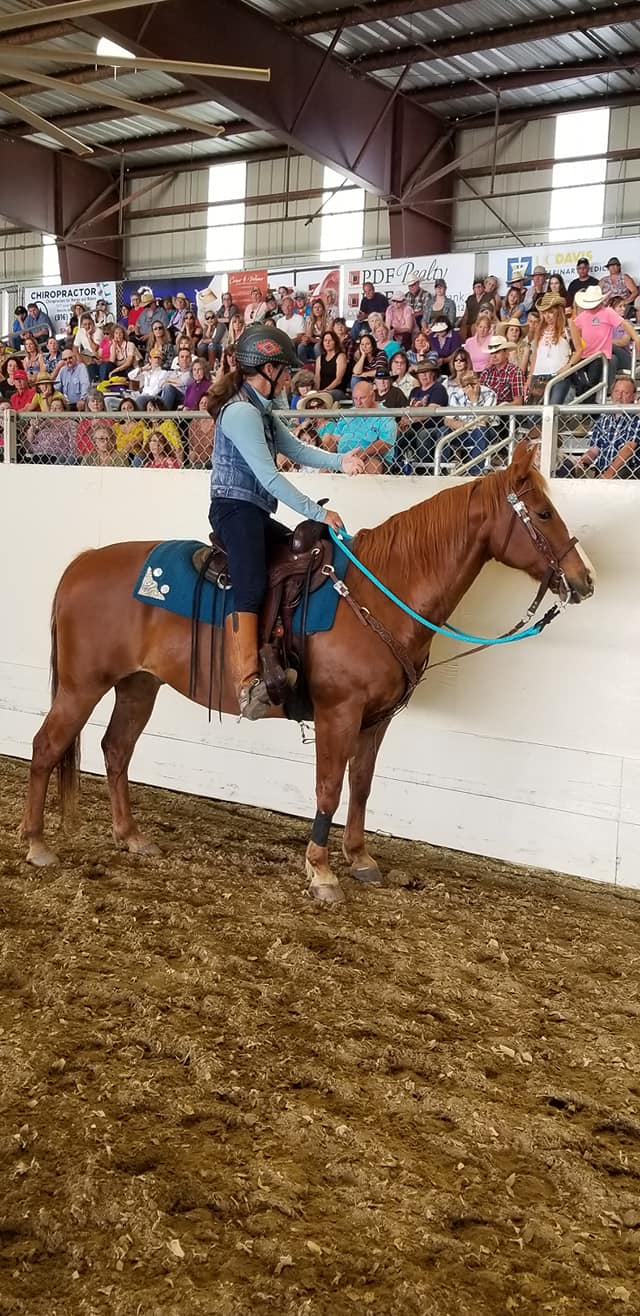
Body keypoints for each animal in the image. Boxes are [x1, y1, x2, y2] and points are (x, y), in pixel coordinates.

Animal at [21, 442, 594, 903]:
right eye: (543, 512)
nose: (585, 580)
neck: (378, 595)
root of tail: (83, 563)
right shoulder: (339, 713)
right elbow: (328, 789)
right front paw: (321, 872)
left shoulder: (376, 719)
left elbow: (361, 787)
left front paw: (360, 858)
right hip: (82, 686)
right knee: (47, 746)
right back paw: (37, 843)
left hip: (138, 684)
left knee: (116, 750)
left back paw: (130, 836)